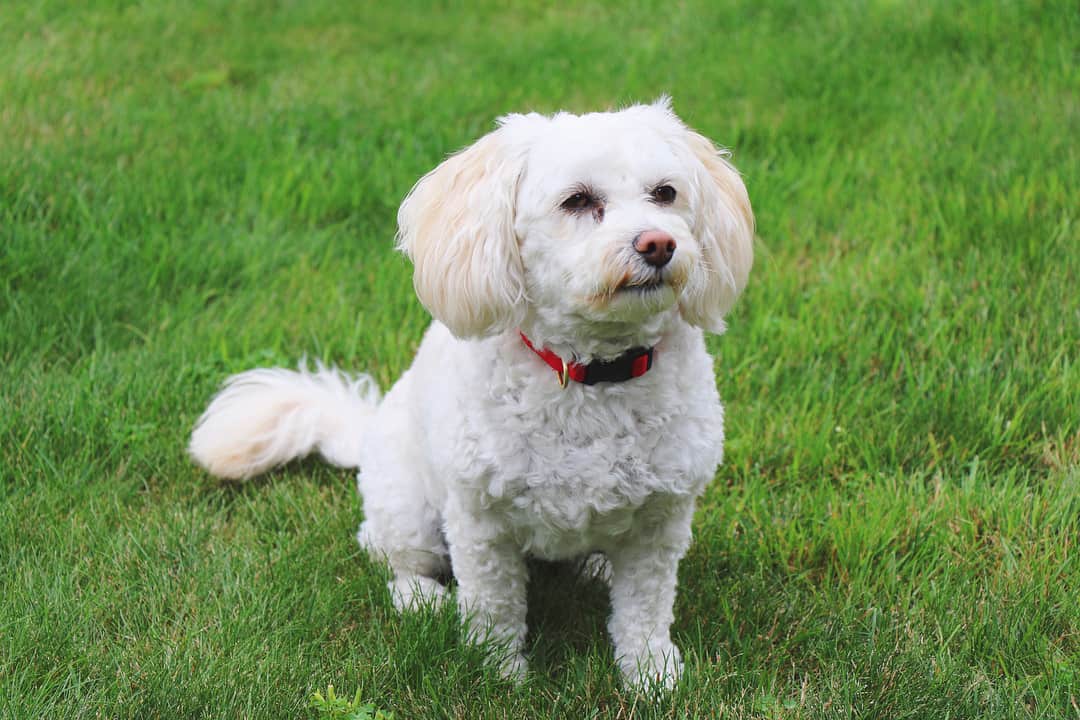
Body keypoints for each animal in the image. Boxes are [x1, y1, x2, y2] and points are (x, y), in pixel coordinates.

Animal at [190, 98, 751, 690]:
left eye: (665, 193)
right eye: (577, 200)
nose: (659, 243)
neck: (592, 373)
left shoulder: (661, 524)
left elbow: (645, 606)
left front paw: (650, 675)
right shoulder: (481, 523)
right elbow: (494, 605)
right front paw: (498, 672)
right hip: (407, 509)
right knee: (392, 558)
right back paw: (423, 599)